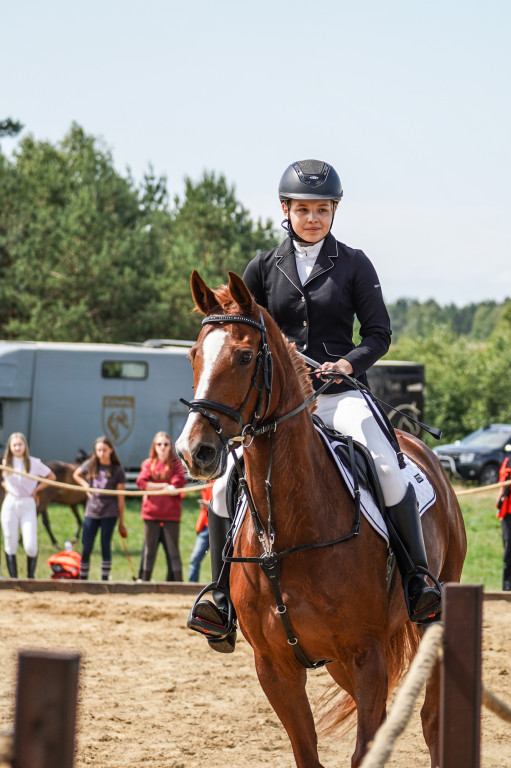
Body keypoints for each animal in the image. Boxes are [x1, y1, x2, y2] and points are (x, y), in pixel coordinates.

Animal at [177, 272, 468, 768]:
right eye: (194, 354)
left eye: (244, 355)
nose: (194, 451)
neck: (288, 528)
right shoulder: (275, 667)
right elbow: (307, 752)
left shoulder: (367, 654)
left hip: (430, 620)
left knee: (431, 720)